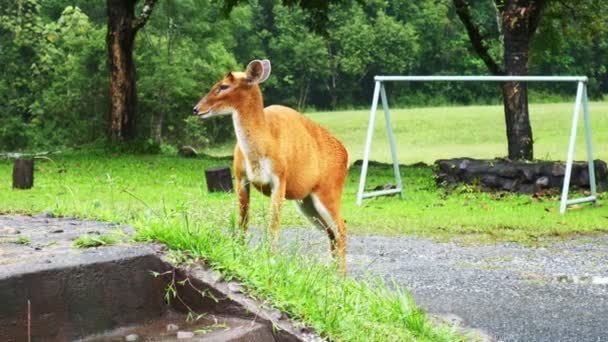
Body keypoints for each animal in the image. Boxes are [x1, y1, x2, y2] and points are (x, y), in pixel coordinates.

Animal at [192, 59, 350, 272]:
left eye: (223, 86)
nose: (196, 109)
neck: (265, 144)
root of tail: (345, 154)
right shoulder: (241, 177)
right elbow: (243, 219)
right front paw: (239, 252)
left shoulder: (280, 178)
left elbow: (273, 223)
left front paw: (269, 259)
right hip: (307, 201)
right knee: (331, 232)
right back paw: (331, 274)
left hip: (329, 190)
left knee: (341, 228)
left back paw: (341, 276)